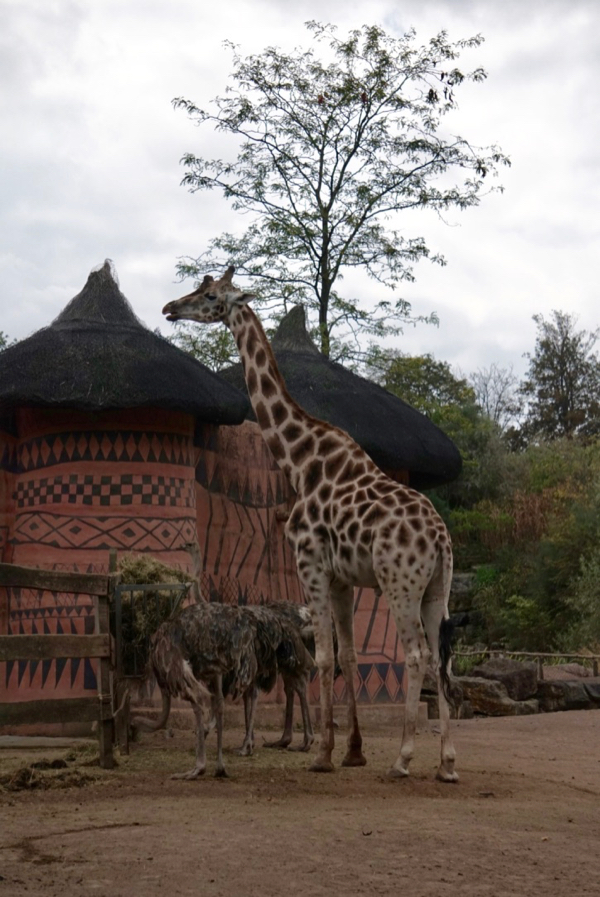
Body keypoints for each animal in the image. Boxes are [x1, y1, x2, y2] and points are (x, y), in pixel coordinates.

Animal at [162, 266, 458, 781]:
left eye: (211, 296)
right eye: (199, 287)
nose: (170, 308)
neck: (299, 461)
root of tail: (440, 538)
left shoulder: (311, 564)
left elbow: (321, 655)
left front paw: (322, 753)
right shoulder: (341, 577)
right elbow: (348, 654)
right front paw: (353, 751)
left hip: (399, 584)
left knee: (417, 653)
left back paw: (403, 759)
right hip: (435, 588)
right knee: (439, 656)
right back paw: (446, 763)